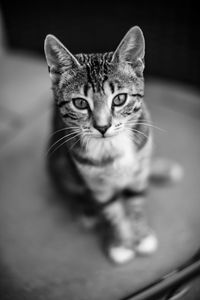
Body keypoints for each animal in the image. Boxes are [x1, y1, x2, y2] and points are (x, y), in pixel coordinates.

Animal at [44, 26, 183, 264]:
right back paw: (87, 212)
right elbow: (111, 211)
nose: (102, 126)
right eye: (80, 103)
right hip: (59, 164)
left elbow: (136, 203)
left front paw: (141, 235)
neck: (111, 147)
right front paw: (121, 242)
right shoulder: (98, 187)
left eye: (119, 99)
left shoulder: (138, 169)